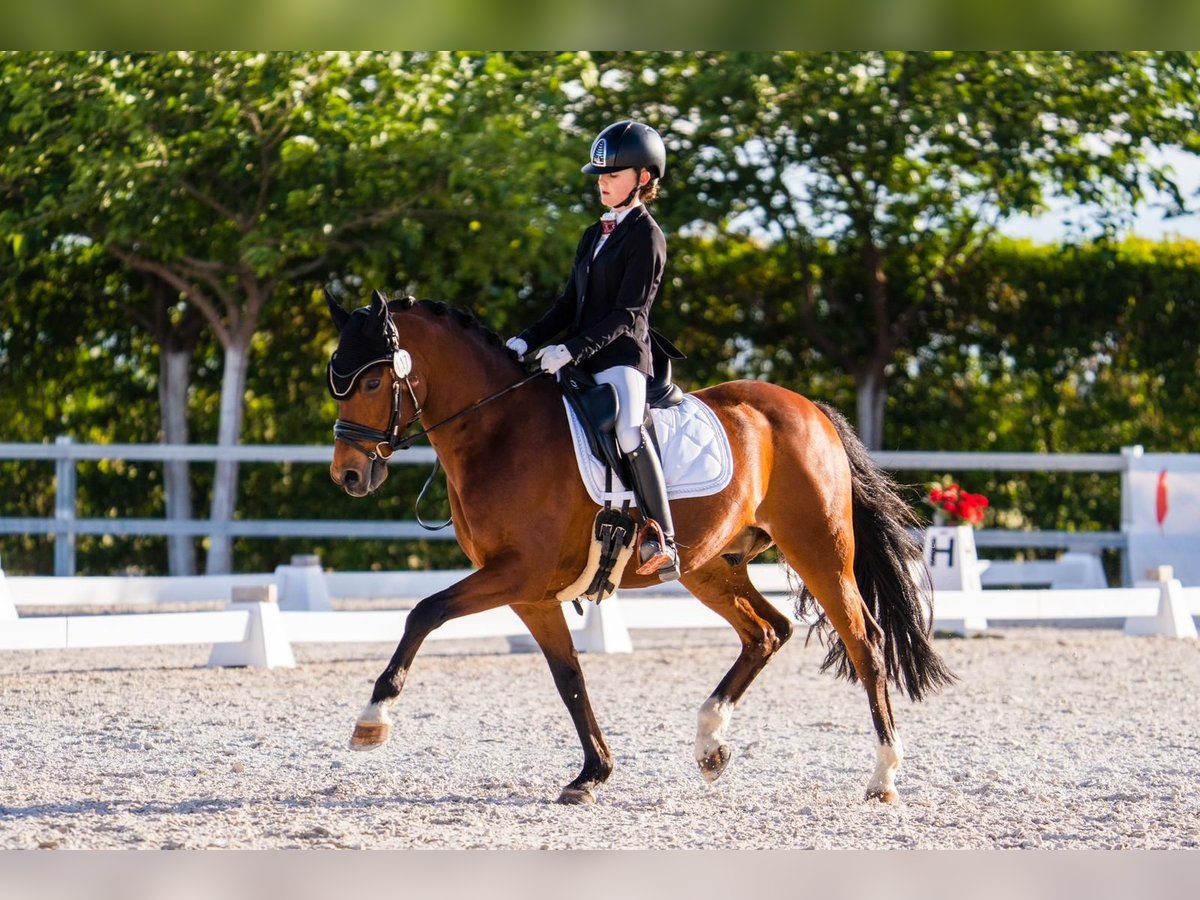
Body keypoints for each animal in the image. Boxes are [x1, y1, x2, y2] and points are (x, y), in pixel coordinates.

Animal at [328, 292, 955, 806]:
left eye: (371, 383)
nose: (349, 476)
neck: (499, 430)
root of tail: (808, 407)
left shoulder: (518, 573)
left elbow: (423, 611)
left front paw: (372, 719)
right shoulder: (531, 593)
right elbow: (569, 677)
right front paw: (592, 774)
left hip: (819, 548)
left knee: (865, 642)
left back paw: (883, 777)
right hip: (710, 567)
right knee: (767, 631)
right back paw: (710, 743)